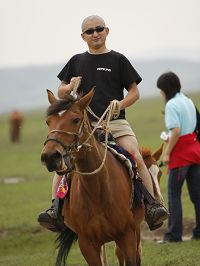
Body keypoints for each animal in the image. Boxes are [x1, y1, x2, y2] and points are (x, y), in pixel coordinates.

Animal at [40, 89, 162, 266]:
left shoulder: (127, 235)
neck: (96, 190)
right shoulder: (87, 243)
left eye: (76, 120)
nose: (50, 156)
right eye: (48, 122)